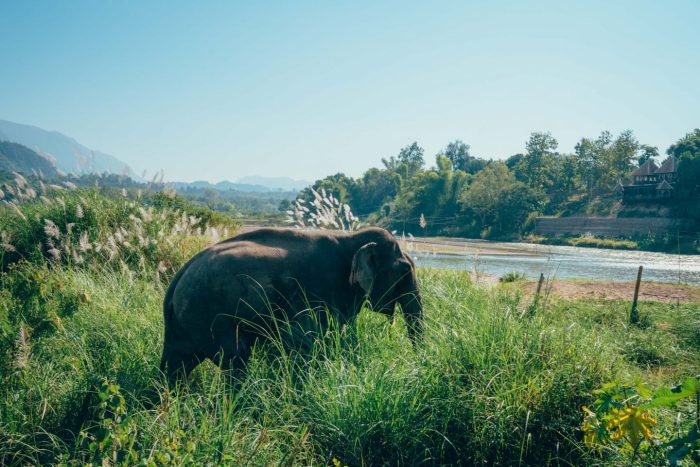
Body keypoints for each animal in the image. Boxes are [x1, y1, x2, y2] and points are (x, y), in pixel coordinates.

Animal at [159, 227, 424, 384]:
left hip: (186, 323)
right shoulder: (322, 287)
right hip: (211, 317)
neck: (349, 237)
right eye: (404, 271)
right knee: (236, 359)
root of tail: (176, 280)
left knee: (177, 364)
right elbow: (317, 338)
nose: (415, 368)